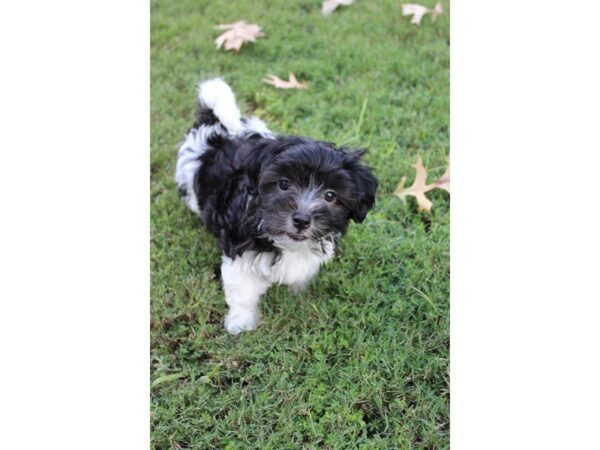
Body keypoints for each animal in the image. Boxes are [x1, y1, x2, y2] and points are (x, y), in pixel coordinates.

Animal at [176, 79, 378, 334]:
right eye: (284, 184)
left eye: (330, 195)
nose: (301, 220)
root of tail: (217, 127)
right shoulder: (240, 253)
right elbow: (243, 291)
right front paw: (241, 323)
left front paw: (298, 295)